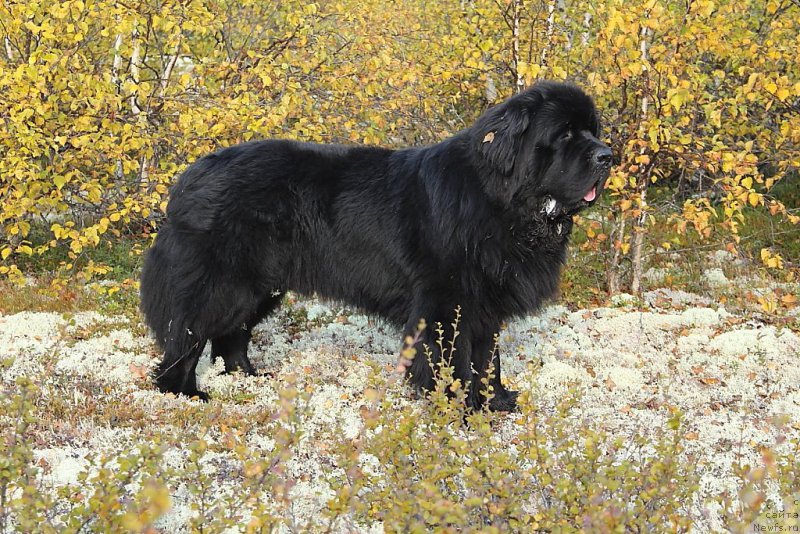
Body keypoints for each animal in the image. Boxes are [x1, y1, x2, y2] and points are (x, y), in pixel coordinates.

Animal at [139, 81, 612, 412]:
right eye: (565, 135)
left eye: (593, 131)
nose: (608, 156)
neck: (504, 202)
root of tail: (189, 177)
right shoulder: (447, 301)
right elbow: (454, 360)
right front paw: (459, 409)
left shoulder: (486, 303)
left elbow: (487, 358)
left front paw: (495, 402)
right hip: (223, 284)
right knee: (188, 335)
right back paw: (183, 393)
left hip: (261, 285)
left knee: (231, 335)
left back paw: (251, 378)